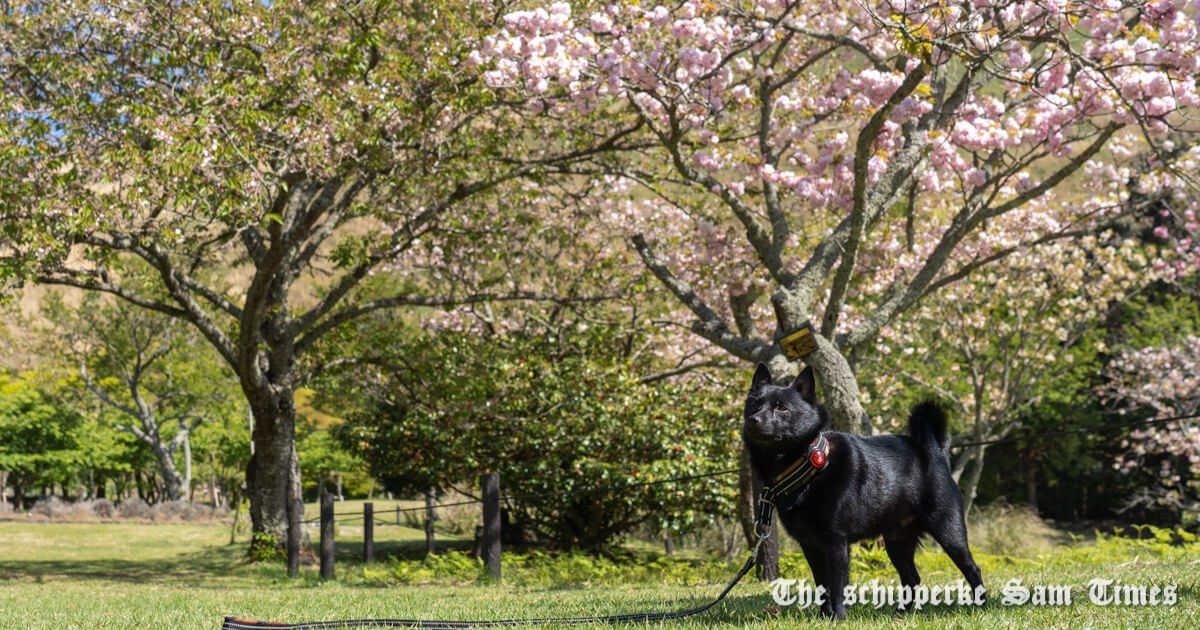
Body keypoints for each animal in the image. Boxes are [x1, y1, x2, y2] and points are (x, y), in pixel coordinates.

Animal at [739, 362, 984, 619]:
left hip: (949, 532)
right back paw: (901, 613)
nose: (754, 420)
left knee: (972, 569)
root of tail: (937, 451)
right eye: (754, 405)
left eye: (782, 408)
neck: (809, 466)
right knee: (912, 578)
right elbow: (822, 586)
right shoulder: (811, 546)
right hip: (897, 541)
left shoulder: (836, 543)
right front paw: (824, 617)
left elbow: (837, 587)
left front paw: (838, 618)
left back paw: (980, 605)